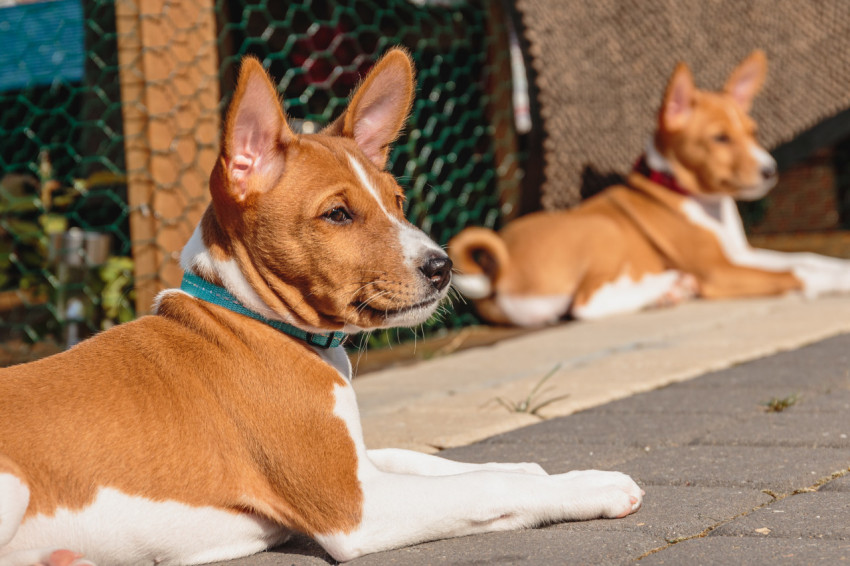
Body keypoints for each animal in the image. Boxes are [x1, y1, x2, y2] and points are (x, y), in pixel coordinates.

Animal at [0, 47, 640, 566]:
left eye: (397, 201)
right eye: (338, 214)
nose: (442, 267)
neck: (251, 317)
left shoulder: (359, 466)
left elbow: (430, 459)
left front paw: (539, 467)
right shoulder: (355, 508)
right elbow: (489, 489)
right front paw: (590, 486)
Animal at [450, 52, 850, 328]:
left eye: (752, 133)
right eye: (720, 138)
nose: (770, 171)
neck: (695, 198)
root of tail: (497, 272)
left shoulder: (740, 254)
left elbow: (807, 258)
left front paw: (841, 269)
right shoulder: (718, 271)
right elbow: (797, 273)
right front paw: (833, 283)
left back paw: (667, 291)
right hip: (603, 230)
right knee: (585, 305)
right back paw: (667, 287)